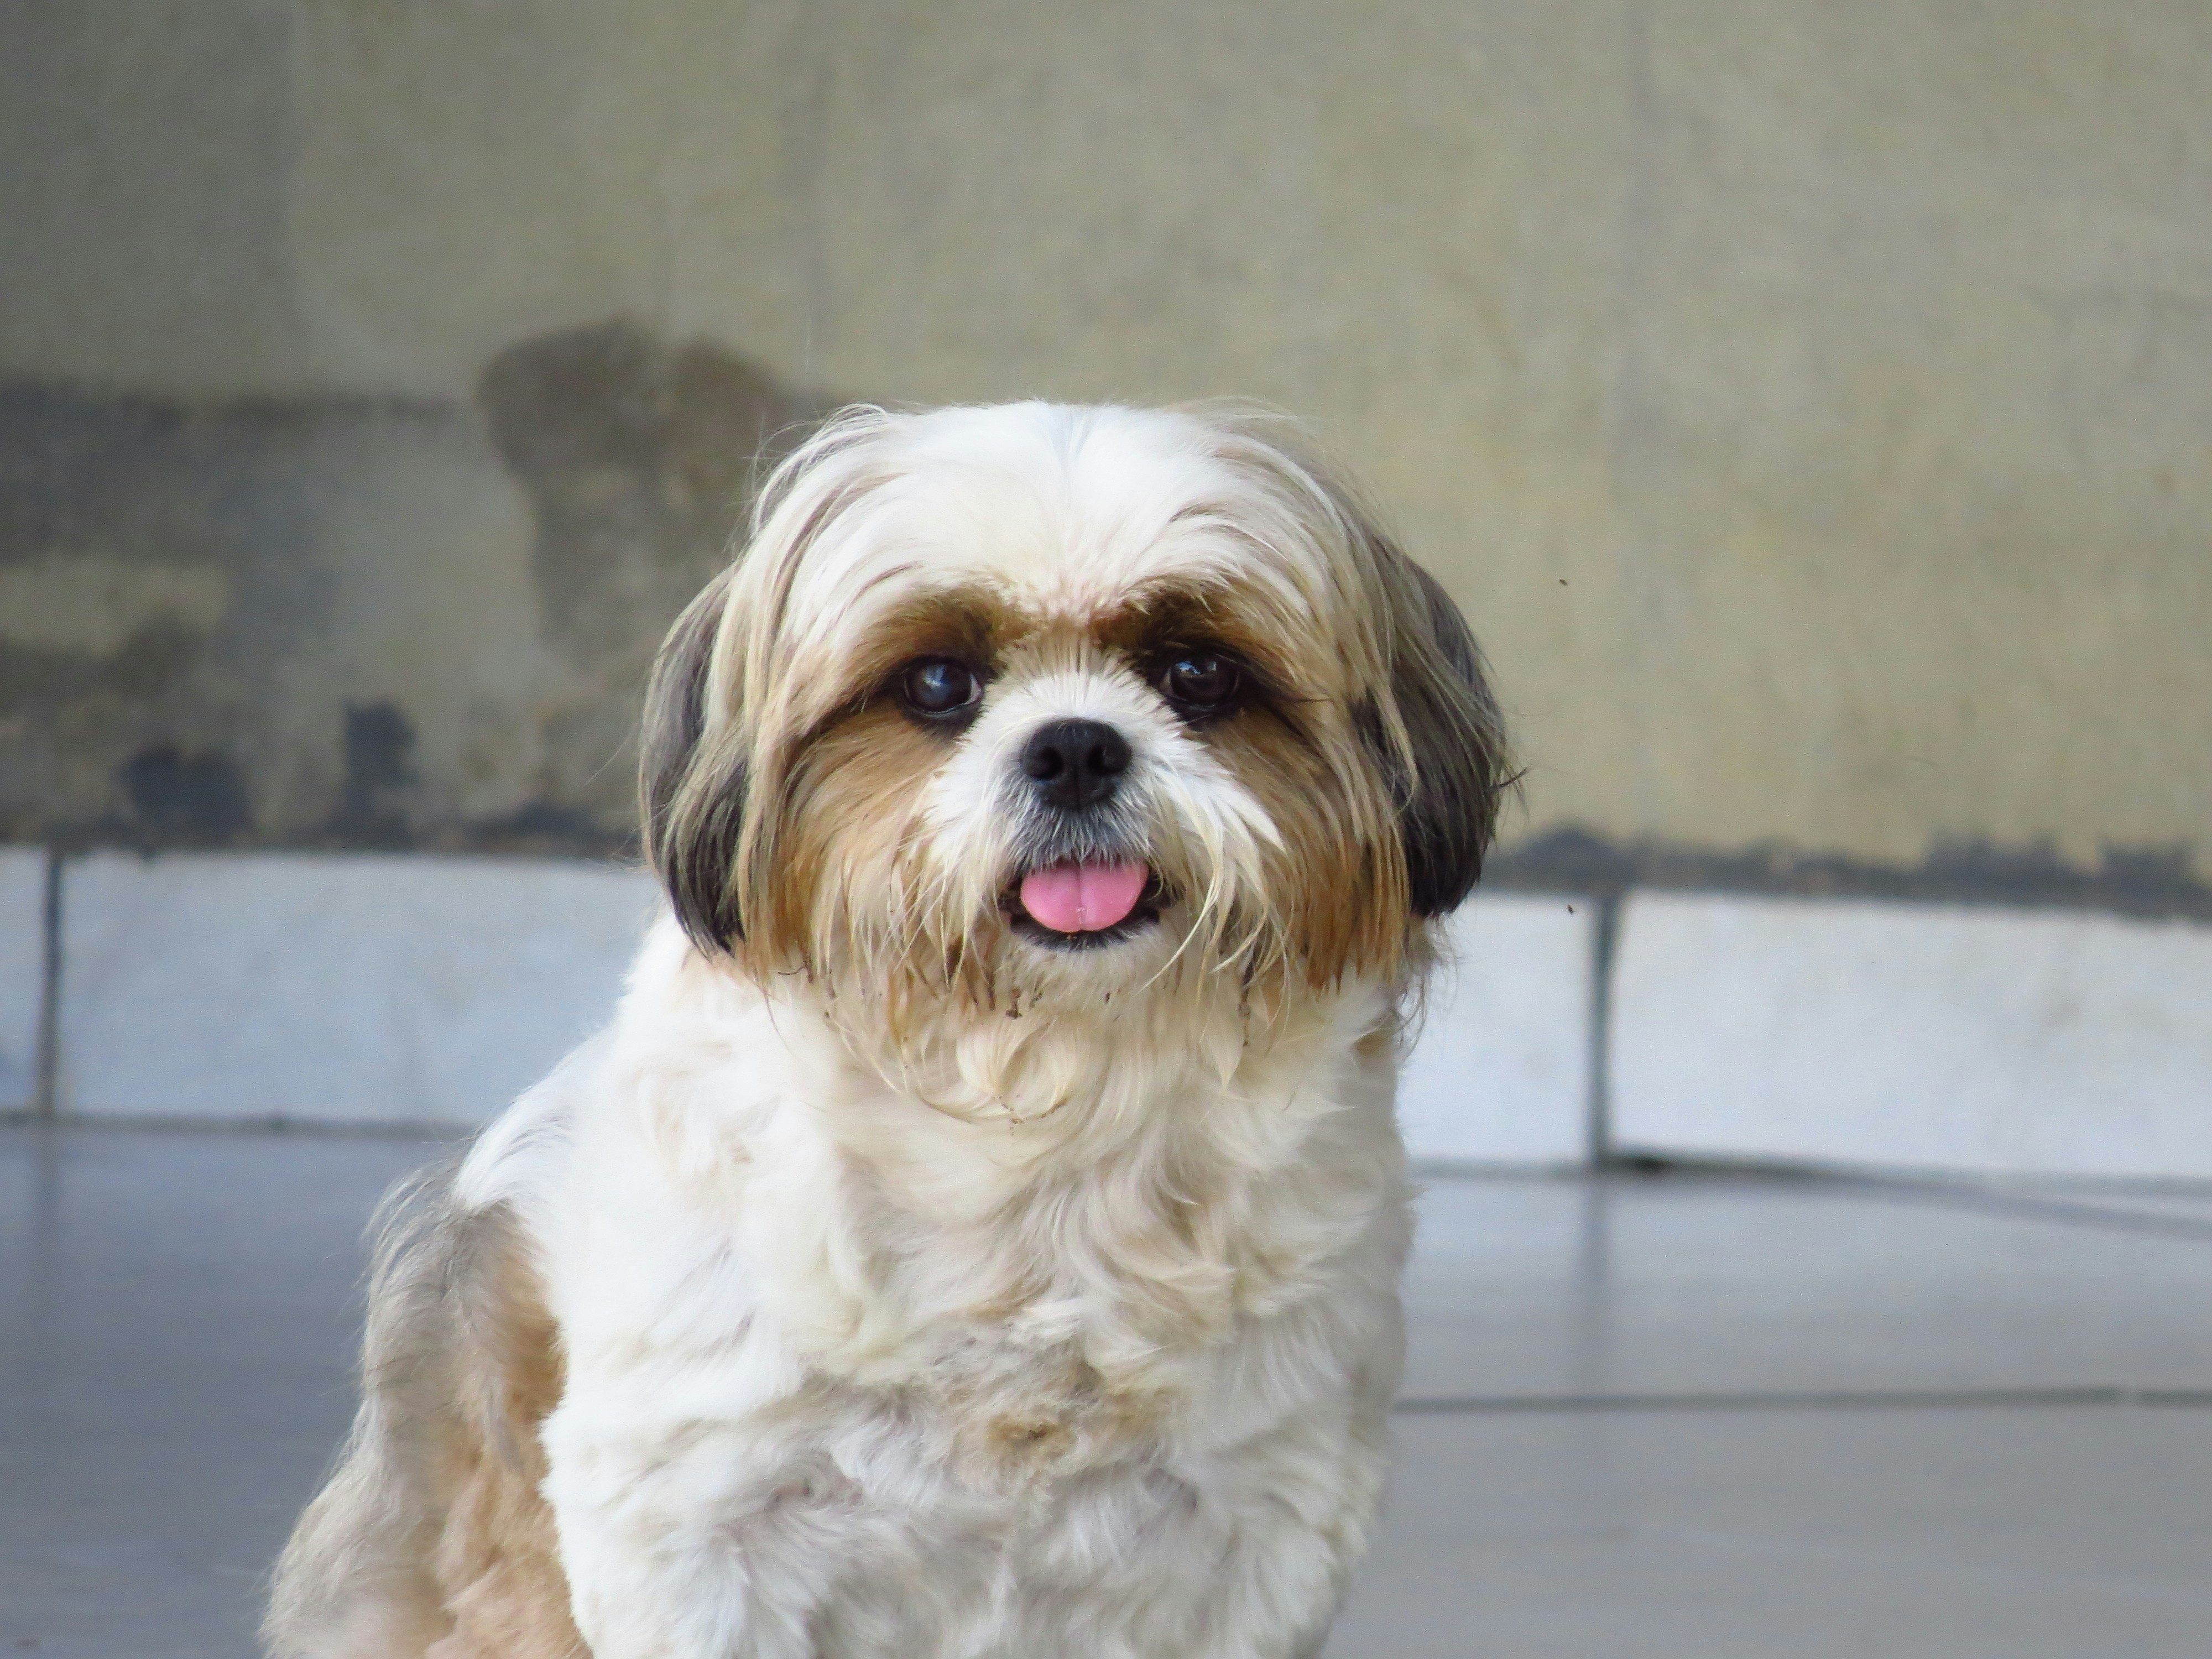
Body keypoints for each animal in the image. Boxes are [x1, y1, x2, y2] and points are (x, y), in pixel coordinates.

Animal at [259, 403, 1504, 1659]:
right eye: (939, 683)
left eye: (1198, 672)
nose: (1075, 746)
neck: (1042, 1107)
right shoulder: (693, 1522)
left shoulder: (1258, 1529)